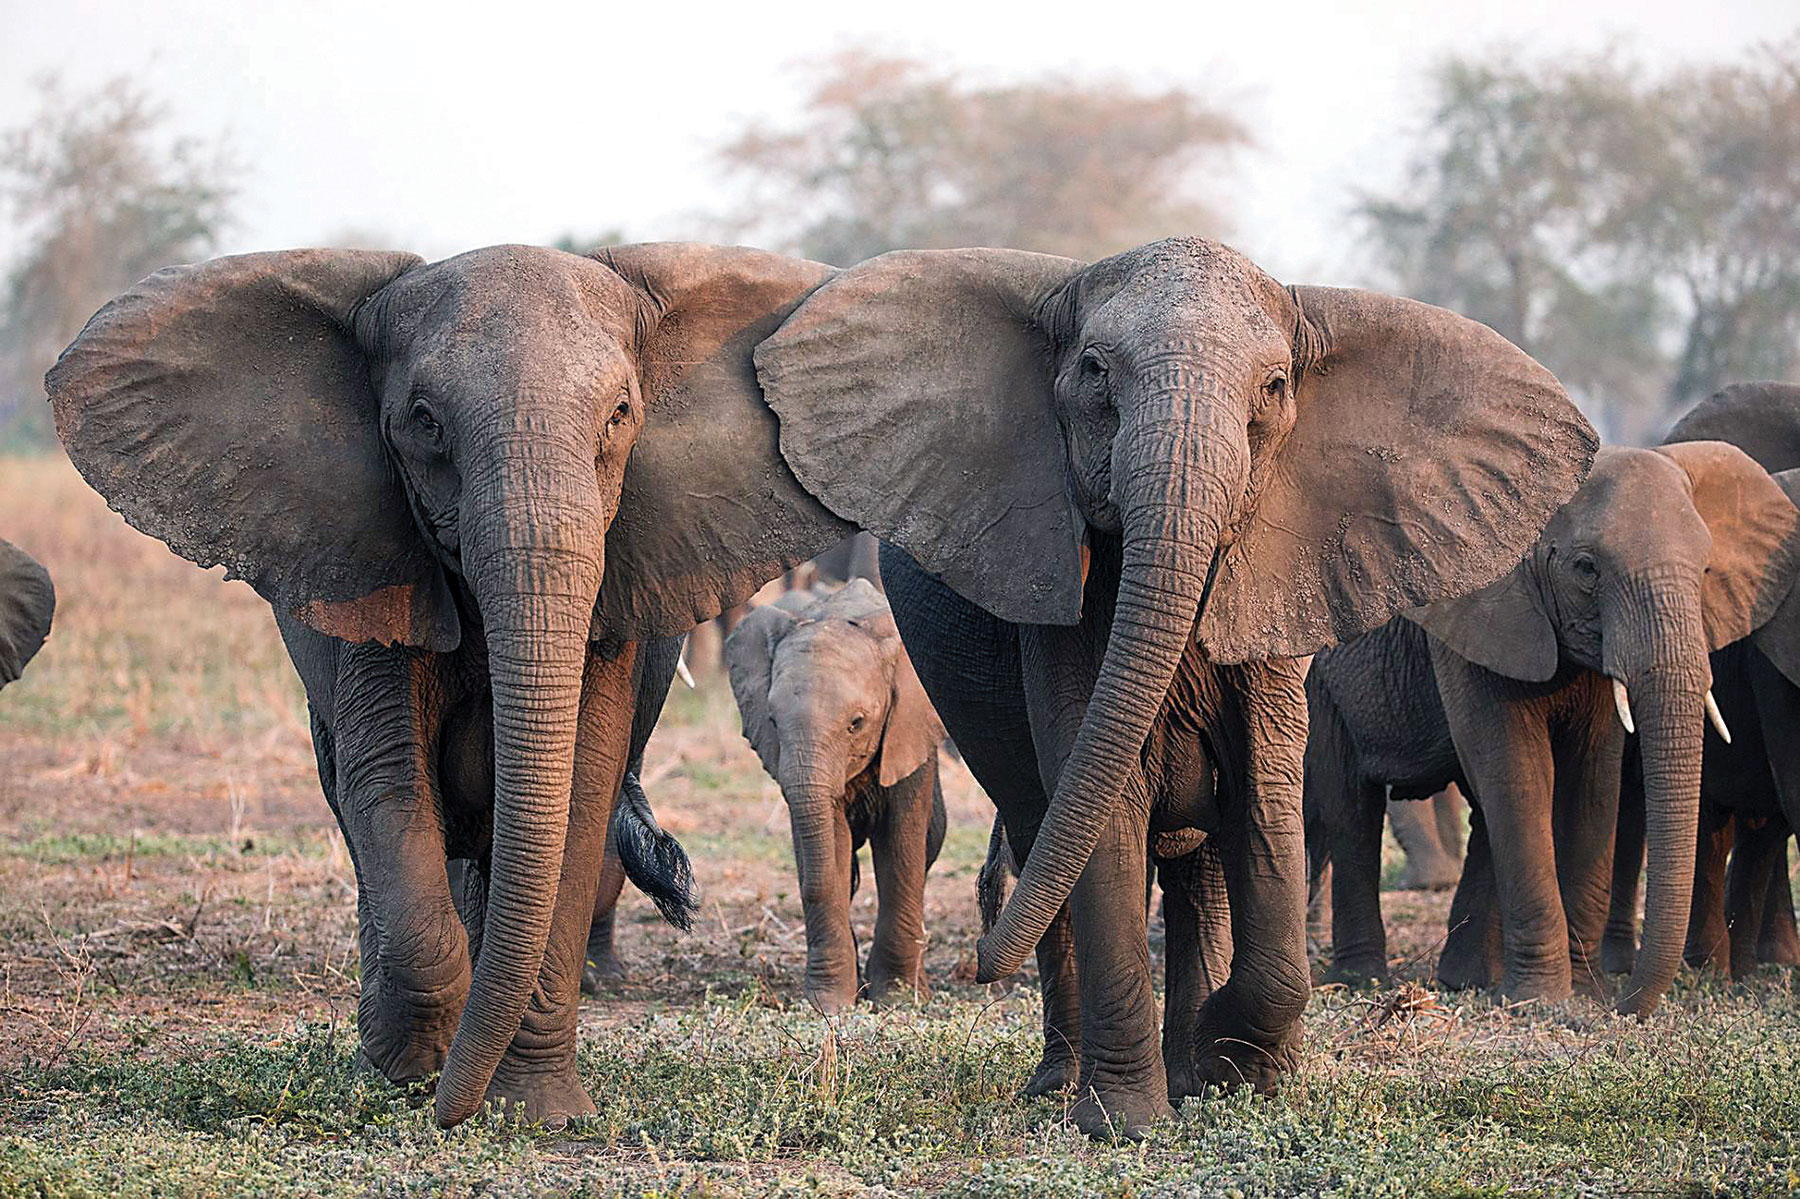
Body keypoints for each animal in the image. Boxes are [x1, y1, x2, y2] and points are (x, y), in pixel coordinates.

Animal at [47, 242, 854, 1128]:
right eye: (425, 420)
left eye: (619, 414)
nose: (448, 1111)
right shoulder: (371, 567)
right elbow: (387, 780)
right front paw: (411, 1070)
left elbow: (578, 791)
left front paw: (535, 1111)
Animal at [724, 579, 946, 1011]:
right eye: (772, 720)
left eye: (856, 723)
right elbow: (830, 849)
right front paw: (829, 1005)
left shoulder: (910, 731)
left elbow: (901, 849)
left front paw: (897, 998)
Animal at [752, 236, 1598, 1137]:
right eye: (1093, 371)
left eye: (1275, 387)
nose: (979, 963)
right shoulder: (1063, 598)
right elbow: (1103, 800)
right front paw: (1123, 1121)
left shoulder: (1278, 582)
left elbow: (1264, 793)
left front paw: (1237, 1066)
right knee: (1045, 832)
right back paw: (1064, 1082)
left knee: (1198, 868)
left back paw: (1191, 1067)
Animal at [1305, 443, 1800, 1013]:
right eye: (1586, 569)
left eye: (1706, 568)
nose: (1622, 1003)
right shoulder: (1478, 613)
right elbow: (1518, 774)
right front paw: (1542, 1002)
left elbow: (1592, 781)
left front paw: (1582, 992)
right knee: (1350, 811)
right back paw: (1361, 979)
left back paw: (1465, 979)